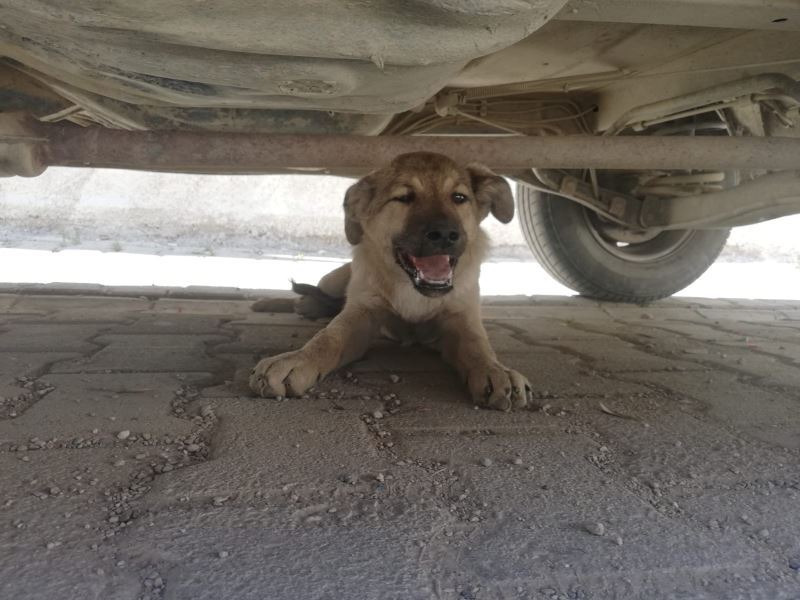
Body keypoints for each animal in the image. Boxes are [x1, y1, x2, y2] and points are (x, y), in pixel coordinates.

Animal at [252, 152, 532, 410]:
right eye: (404, 198)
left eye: (459, 198)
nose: (445, 234)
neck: (414, 293)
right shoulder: (362, 312)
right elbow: (328, 338)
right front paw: (297, 359)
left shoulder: (460, 316)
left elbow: (477, 346)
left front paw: (496, 370)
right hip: (335, 278)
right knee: (318, 295)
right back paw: (289, 304)